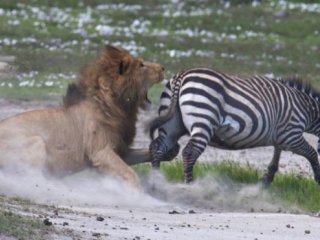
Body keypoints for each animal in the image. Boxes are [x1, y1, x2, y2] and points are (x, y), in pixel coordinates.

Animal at [0, 45, 165, 188]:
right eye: (141, 65)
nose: (163, 68)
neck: (117, 106)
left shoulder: (120, 150)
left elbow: (144, 153)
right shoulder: (100, 151)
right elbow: (130, 174)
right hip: (36, 142)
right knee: (32, 178)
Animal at [149, 68, 320, 185]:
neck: (306, 108)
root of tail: (182, 75)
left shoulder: (281, 136)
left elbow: (275, 157)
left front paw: (266, 181)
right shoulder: (292, 134)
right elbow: (312, 154)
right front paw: (318, 181)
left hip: (171, 125)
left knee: (158, 148)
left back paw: (157, 182)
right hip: (203, 121)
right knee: (189, 153)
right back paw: (191, 185)